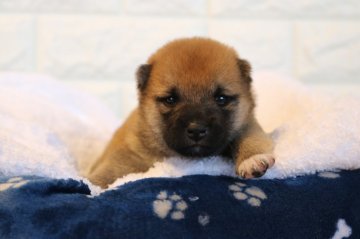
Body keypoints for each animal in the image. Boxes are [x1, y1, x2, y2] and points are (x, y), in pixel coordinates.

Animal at [88, 37, 274, 188]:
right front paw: (93, 185)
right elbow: (112, 169)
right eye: (170, 100)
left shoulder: (247, 123)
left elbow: (249, 137)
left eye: (221, 98)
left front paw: (252, 159)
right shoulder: (131, 152)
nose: (197, 130)